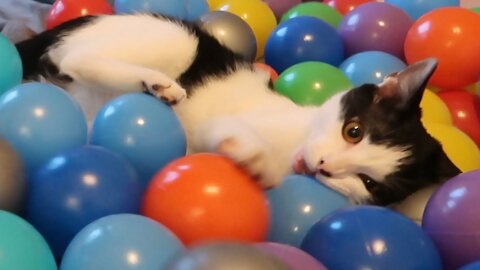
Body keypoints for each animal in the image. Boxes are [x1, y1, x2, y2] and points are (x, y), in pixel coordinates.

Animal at [14, 12, 462, 205]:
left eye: (370, 184)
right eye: (353, 130)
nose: (323, 166)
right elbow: (229, 130)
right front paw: (255, 158)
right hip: (176, 38)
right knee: (74, 57)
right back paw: (158, 83)